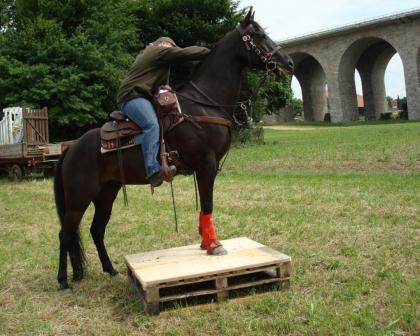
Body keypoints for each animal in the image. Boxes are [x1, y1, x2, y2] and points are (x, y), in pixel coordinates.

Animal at [54, 8, 294, 292]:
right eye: (257, 35)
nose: (289, 63)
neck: (204, 105)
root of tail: (70, 149)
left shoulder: (207, 167)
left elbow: (205, 204)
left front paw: (205, 242)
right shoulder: (206, 163)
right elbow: (208, 203)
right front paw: (214, 245)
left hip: (106, 194)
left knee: (95, 230)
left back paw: (110, 270)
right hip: (79, 198)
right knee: (66, 233)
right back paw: (63, 281)